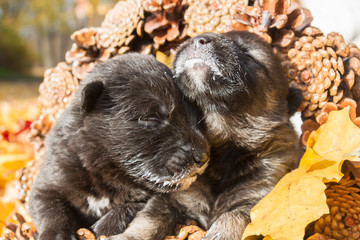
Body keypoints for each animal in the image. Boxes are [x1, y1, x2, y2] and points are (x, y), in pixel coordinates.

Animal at [29, 53, 210, 240]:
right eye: (151, 117)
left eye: (196, 115)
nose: (203, 156)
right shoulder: (47, 186)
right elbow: (53, 210)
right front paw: (56, 235)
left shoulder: (148, 200)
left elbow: (123, 212)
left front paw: (100, 229)